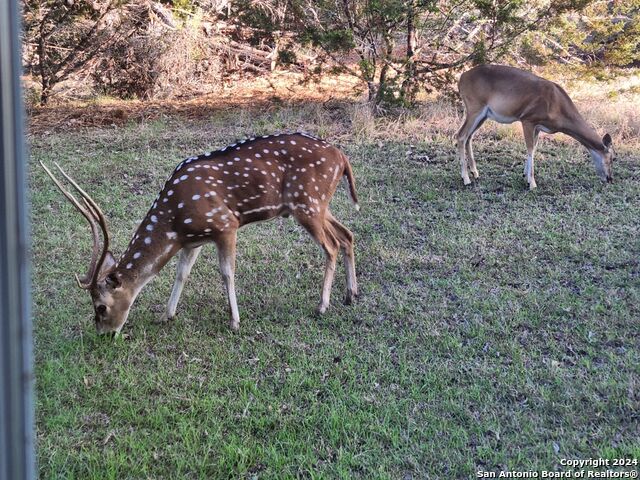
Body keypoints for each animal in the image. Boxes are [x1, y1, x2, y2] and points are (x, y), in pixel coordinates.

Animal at [41, 131, 360, 334]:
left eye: (101, 307)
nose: (103, 334)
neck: (175, 222)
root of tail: (342, 157)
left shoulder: (225, 224)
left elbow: (227, 272)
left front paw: (235, 322)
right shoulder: (193, 241)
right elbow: (181, 273)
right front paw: (166, 315)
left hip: (307, 203)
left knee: (331, 245)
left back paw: (322, 306)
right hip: (319, 205)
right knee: (347, 235)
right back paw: (350, 295)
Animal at [456, 64, 616, 188]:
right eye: (612, 158)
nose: (609, 179)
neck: (558, 106)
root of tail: (461, 78)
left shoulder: (538, 127)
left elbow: (534, 148)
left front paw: (525, 176)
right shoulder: (528, 119)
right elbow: (530, 148)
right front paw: (532, 183)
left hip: (483, 115)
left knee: (469, 136)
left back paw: (475, 173)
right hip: (475, 107)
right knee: (461, 135)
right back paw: (466, 179)